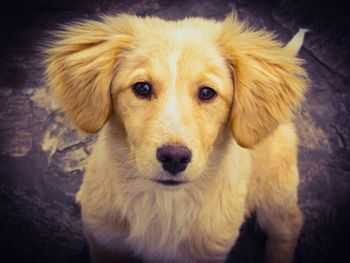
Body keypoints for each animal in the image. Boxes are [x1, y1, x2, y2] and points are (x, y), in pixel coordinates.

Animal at [44, 14, 308, 263]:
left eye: (207, 92)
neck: (162, 201)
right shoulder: (105, 242)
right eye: (142, 88)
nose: (174, 158)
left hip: (276, 191)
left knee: (290, 223)